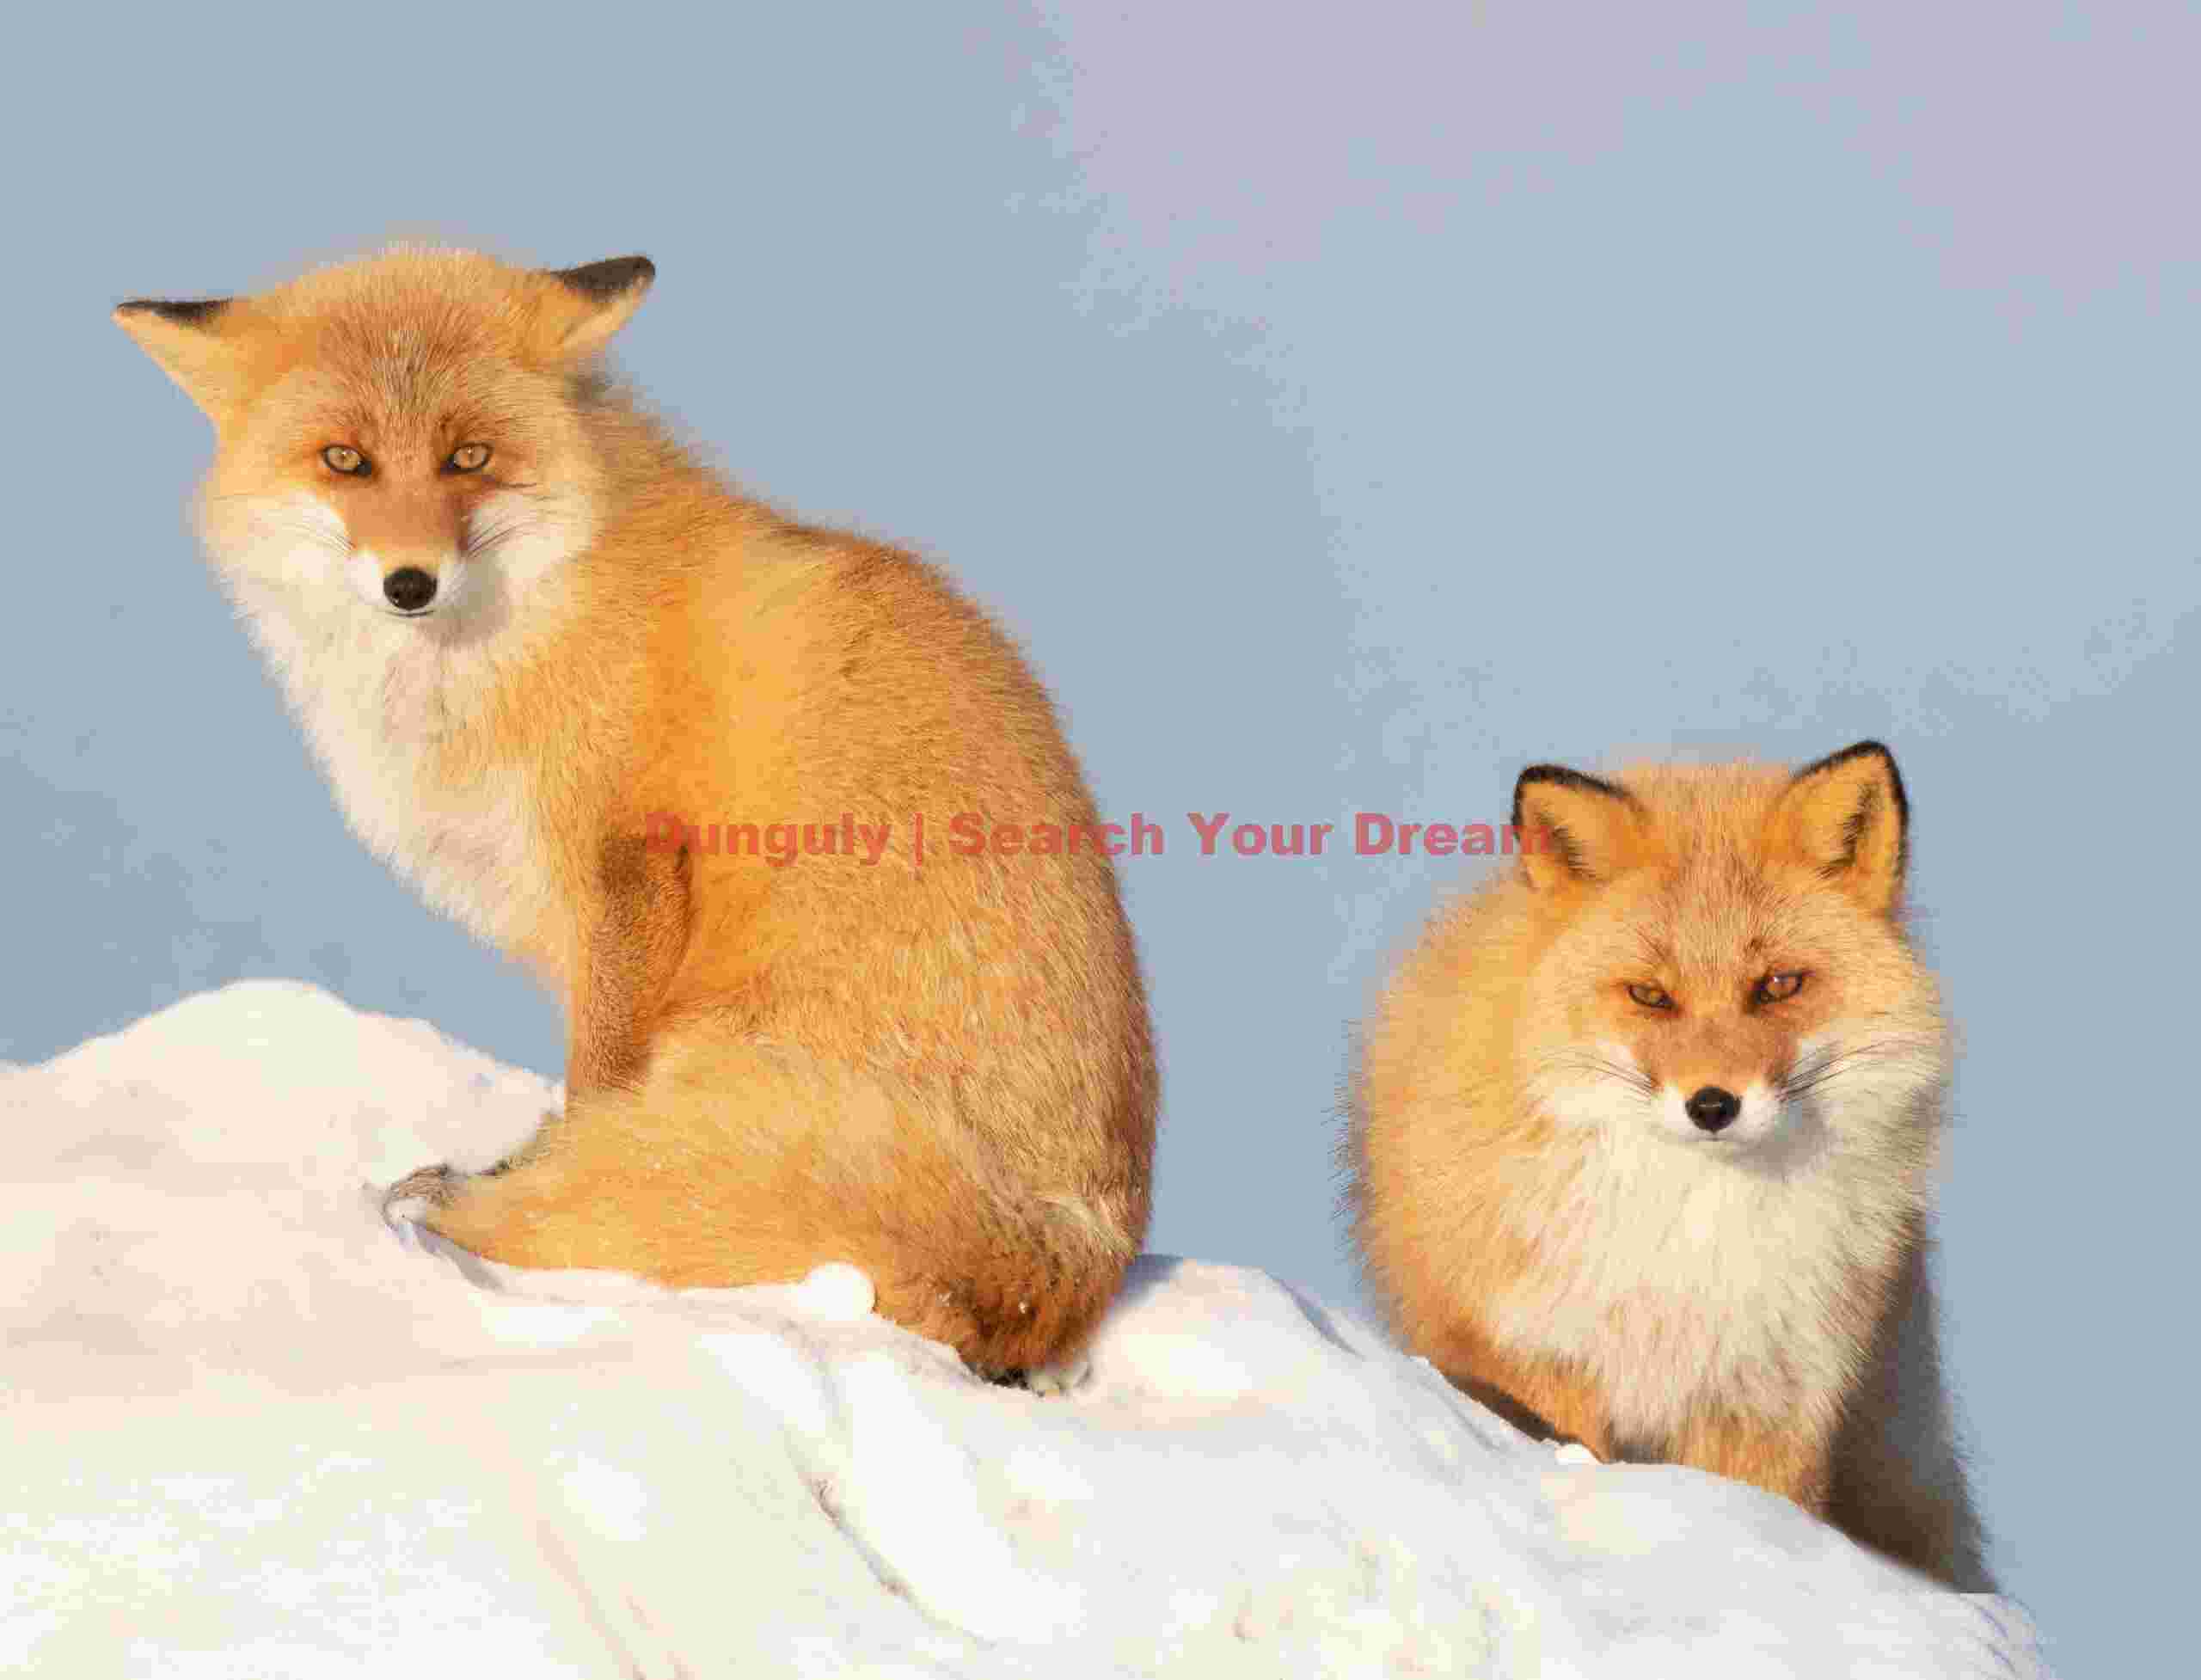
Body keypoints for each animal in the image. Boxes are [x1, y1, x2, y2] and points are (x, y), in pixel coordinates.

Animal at [113, 246, 1158, 1380]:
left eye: (470, 456)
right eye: (345, 459)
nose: (409, 582)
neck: (523, 632)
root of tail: (1067, 1267)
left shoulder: (625, 867)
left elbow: (593, 1093)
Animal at [1344, 742, 1992, 1589]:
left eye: (1778, 985)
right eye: (1650, 995)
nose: (1712, 1105)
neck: (1690, 1233)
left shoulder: (1767, 1397)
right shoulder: (1539, 1354)